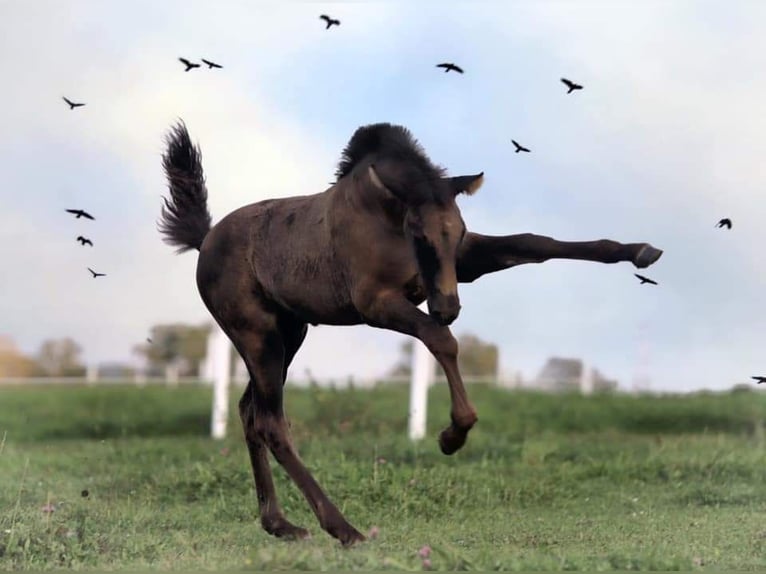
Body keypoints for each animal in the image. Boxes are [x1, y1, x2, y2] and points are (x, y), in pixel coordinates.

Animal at [159, 120, 664, 544]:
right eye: (418, 234)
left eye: (457, 230)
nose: (448, 306)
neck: (383, 217)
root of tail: (204, 241)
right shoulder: (375, 302)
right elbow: (442, 340)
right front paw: (452, 435)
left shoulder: (464, 263)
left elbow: (533, 243)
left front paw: (640, 250)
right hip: (258, 334)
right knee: (270, 421)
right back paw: (344, 529)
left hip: (291, 332)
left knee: (249, 412)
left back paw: (281, 524)